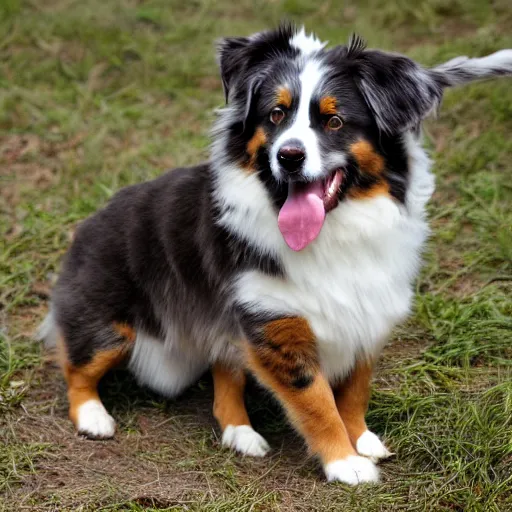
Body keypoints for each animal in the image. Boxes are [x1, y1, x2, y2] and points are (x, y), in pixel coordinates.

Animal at [37, 24, 512, 486]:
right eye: (276, 115)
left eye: (334, 121)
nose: (289, 156)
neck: (333, 232)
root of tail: (89, 221)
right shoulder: (276, 325)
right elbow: (317, 399)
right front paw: (345, 462)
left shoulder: (369, 310)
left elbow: (354, 389)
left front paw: (360, 438)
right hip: (109, 323)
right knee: (77, 366)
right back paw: (93, 415)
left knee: (224, 370)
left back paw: (240, 433)